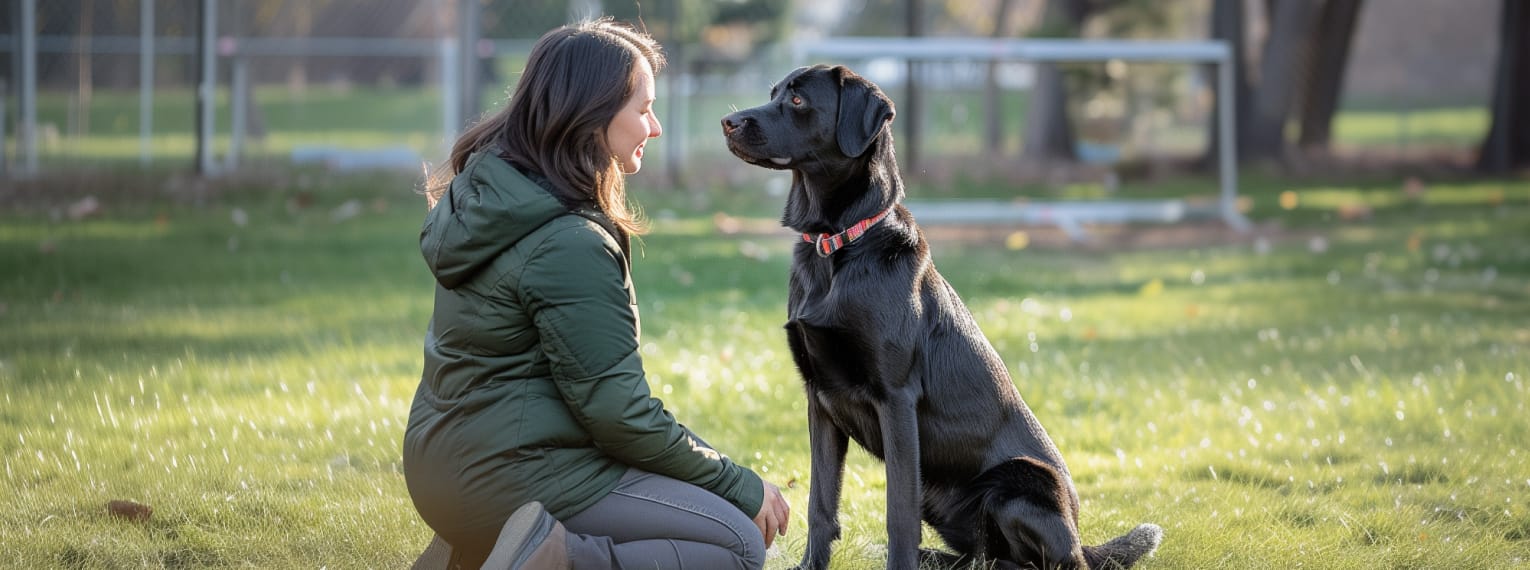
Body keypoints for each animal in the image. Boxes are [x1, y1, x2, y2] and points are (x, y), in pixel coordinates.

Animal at [722, 64, 1162, 565]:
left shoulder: (896, 400)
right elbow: (820, 505)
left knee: (1047, 561)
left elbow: (898, 514)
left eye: (797, 101)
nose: (727, 123)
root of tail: (1079, 537)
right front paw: (811, 566)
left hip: (1021, 482)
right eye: (774, 92)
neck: (837, 246)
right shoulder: (820, 400)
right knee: (986, 558)